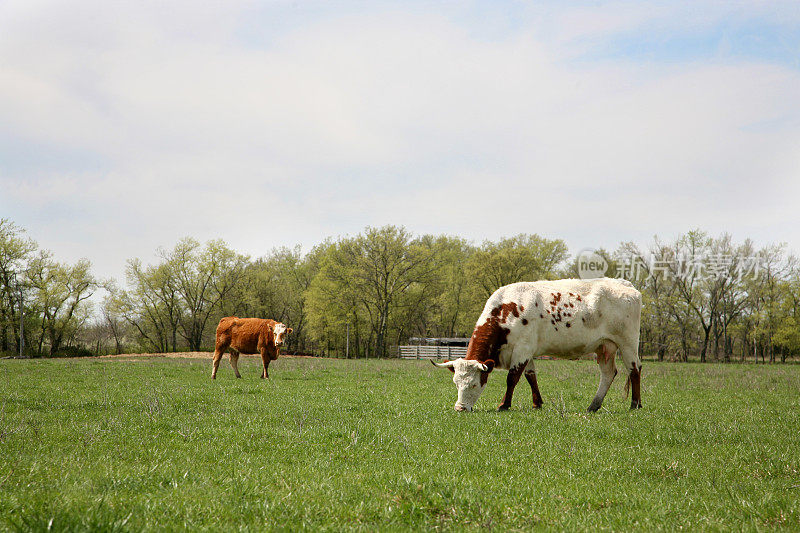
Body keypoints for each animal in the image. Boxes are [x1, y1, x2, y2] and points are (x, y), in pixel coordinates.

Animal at [434, 278, 640, 412]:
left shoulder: (522, 349)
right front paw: (537, 403)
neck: (506, 311)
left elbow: (512, 378)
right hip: (605, 347)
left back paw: (635, 404)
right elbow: (530, 376)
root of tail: (626, 285)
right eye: (456, 383)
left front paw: (504, 405)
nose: (460, 408)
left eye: (474, 384)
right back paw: (594, 405)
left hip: (628, 343)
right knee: (608, 373)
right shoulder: (526, 351)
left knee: (634, 369)